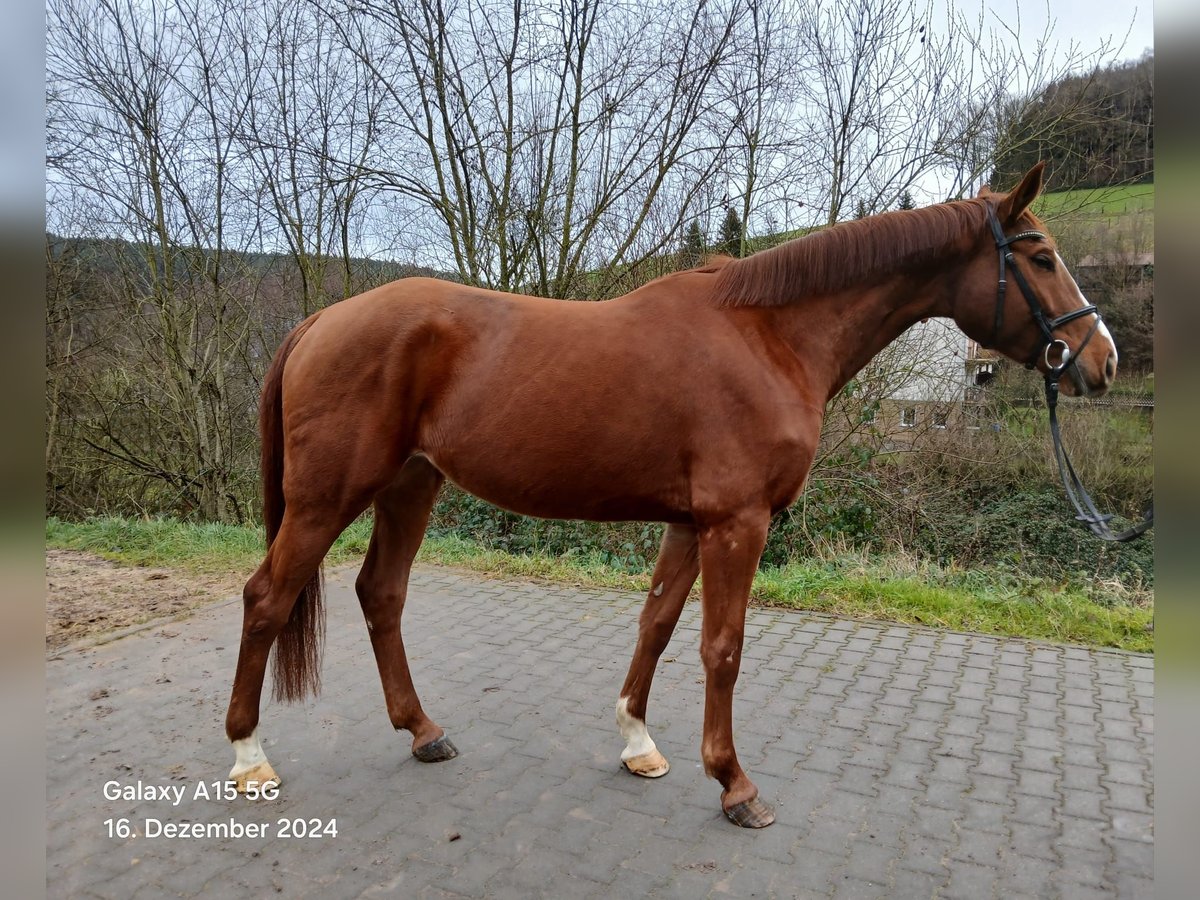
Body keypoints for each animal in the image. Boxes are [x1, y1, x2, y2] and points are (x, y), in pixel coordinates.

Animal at [226, 165, 1123, 830]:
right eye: (1041, 257)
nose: (1102, 360)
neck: (770, 337)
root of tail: (319, 323)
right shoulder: (738, 523)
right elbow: (722, 649)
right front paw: (735, 785)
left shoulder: (692, 524)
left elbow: (656, 625)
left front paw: (637, 742)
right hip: (327, 498)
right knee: (267, 597)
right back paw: (248, 757)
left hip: (411, 485)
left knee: (382, 594)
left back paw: (424, 732)